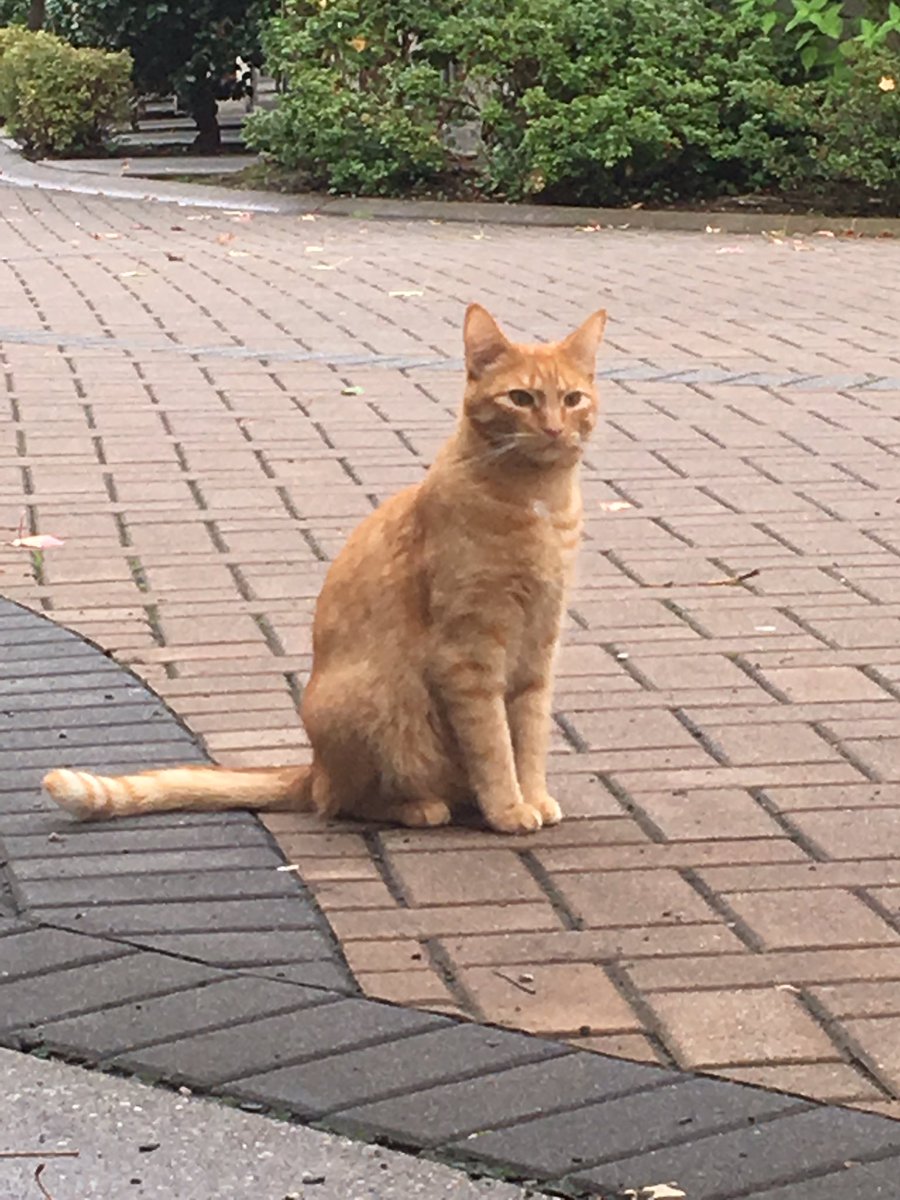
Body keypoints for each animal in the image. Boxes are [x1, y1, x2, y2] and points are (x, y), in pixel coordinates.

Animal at [42, 302, 607, 835]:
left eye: (572, 400)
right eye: (521, 399)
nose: (555, 428)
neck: (540, 502)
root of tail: (312, 766)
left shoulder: (538, 649)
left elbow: (528, 738)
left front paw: (533, 796)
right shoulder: (469, 656)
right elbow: (493, 744)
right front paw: (508, 808)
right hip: (378, 703)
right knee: (341, 801)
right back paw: (420, 807)